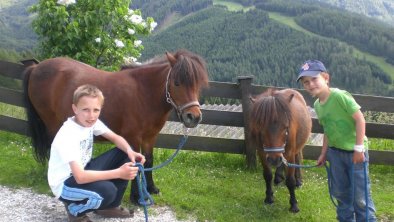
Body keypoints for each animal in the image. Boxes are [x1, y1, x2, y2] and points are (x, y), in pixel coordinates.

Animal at [23, 49, 209, 204]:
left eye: (198, 84)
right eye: (177, 83)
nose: (193, 117)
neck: (144, 93)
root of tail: (36, 67)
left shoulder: (150, 137)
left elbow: (148, 160)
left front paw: (151, 189)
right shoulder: (133, 137)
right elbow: (135, 162)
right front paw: (136, 197)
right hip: (51, 123)